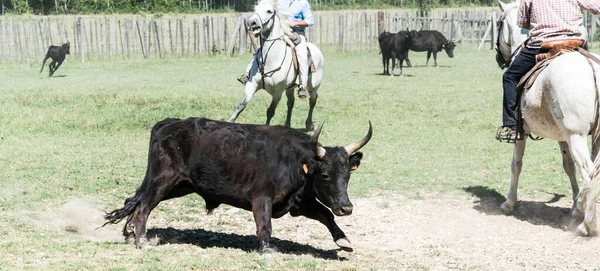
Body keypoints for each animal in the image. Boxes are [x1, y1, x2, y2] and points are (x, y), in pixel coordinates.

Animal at [105, 118, 372, 254]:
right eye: (325, 175)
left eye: (347, 175)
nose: (346, 208)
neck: (295, 161)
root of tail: (167, 124)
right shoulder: (261, 198)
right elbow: (264, 226)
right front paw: (267, 250)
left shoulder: (299, 202)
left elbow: (326, 215)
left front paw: (343, 240)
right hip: (163, 181)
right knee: (143, 207)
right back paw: (141, 241)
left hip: (178, 186)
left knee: (135, 201)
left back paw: (131, 232)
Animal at [229, 0, 324, 132]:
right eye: (256, 8)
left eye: (269, 11)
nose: (251, 22)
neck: (270, 60)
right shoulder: (251, 85)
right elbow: (241, 105)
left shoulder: (277, 92)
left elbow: (270, 111)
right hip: (290, 88)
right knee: (291, 103)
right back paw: (287, 125)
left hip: (313, 86)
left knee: (312, 100)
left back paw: (309, 124)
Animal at [494, 0, 600, 237]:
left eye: (499, 23)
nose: (498, 58)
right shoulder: (562, 137)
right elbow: (568, 166)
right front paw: (575, 205)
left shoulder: (521, 132)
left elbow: (516, 164)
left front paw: (509, 203)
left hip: (576, 136)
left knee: (589, 171)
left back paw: (587, 224)